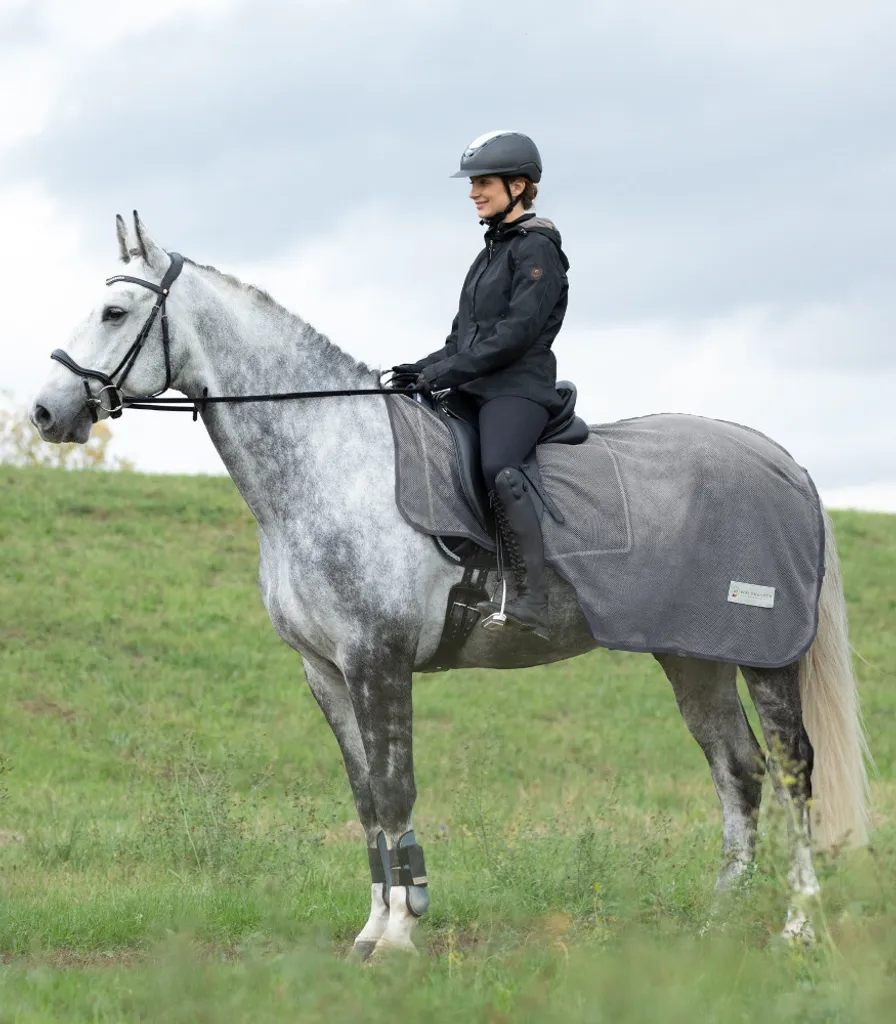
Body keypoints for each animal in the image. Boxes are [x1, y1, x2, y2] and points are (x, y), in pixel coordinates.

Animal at [30, 213, 869, 958]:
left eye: (114, 311)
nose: (44, 412)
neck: (332, 461)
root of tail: (782, 462)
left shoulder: (379, 657)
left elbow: (395, 790)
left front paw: (402, 934)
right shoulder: (326, 671)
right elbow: (365, 799)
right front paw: (371, 931)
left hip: (764, 655)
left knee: (792, 770)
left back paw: (798, 929)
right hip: (693, 657)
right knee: (739, 771)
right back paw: (718, 927)